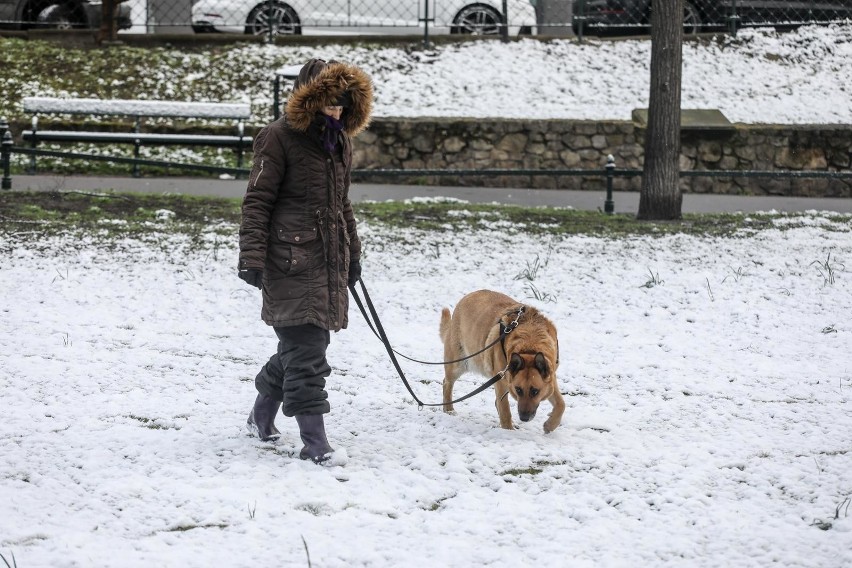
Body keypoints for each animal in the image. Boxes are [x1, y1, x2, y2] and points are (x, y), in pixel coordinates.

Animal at [440, 290, 564, 432]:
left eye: (535, 391)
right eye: (518, 390)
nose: (524, 418)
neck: (529, 346)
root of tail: (467, 296)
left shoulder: (551, 378)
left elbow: (561, 404)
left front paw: (551, 424)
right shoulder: (500, 381)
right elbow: (505, 410)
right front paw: (508, 430)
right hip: (458, 364)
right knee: (446, 383)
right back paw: (449, 410)